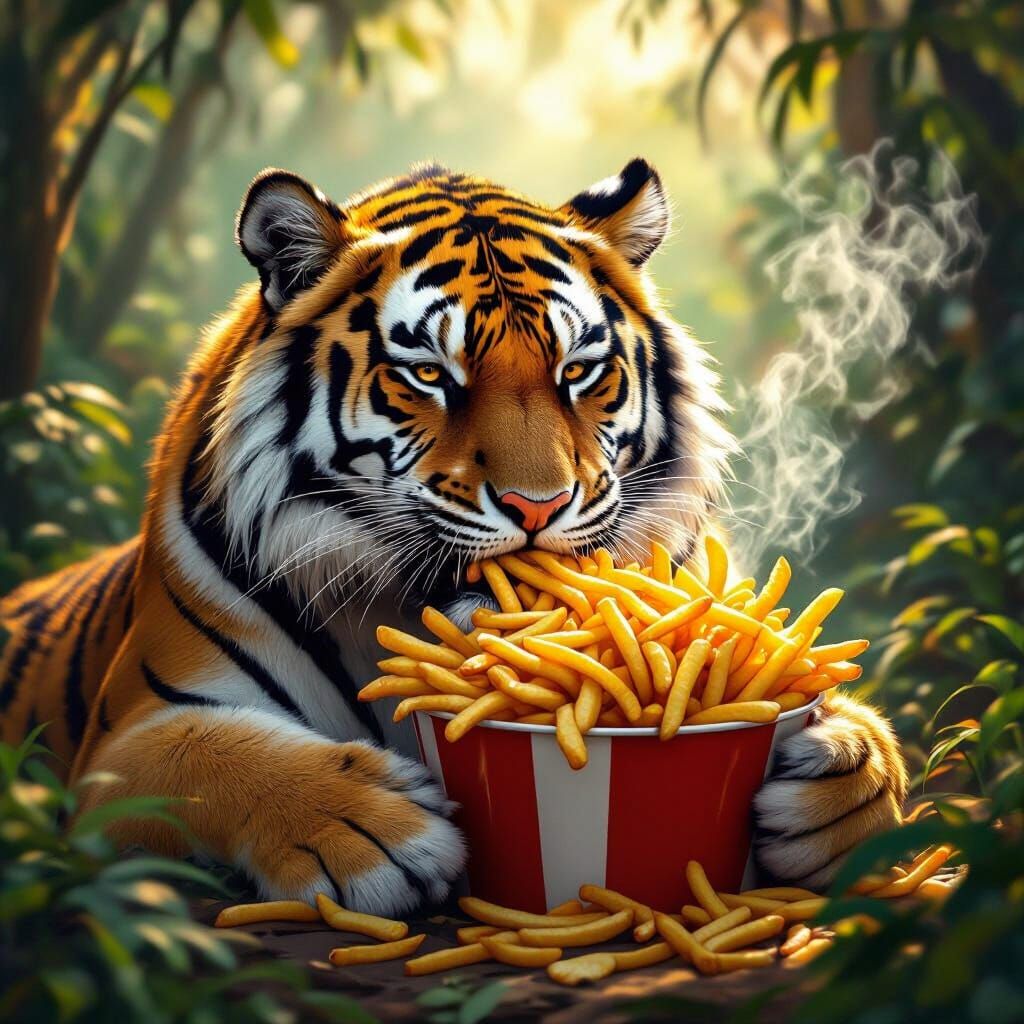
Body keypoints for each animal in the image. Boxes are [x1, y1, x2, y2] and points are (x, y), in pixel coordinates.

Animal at [0, 159, 907, 914]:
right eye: (430, 376)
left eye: (578, 371)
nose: (539, 506)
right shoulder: (121, 747)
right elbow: (215, 761)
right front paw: (372, 830)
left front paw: (846, 772)